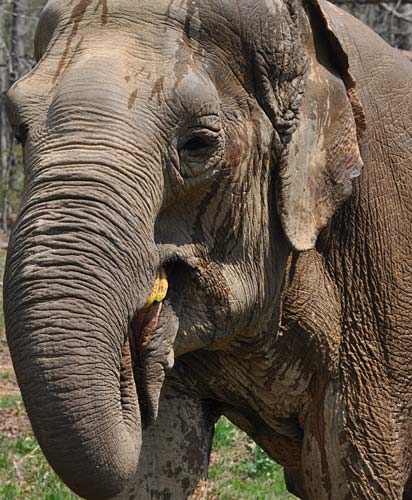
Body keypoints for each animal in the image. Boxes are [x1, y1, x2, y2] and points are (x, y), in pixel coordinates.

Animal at [3, 0, 412, 498]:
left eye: (198, 144)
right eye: (19, 130)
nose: (132, 371)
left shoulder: (381, 288)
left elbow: (360, 476)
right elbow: (157, 465)